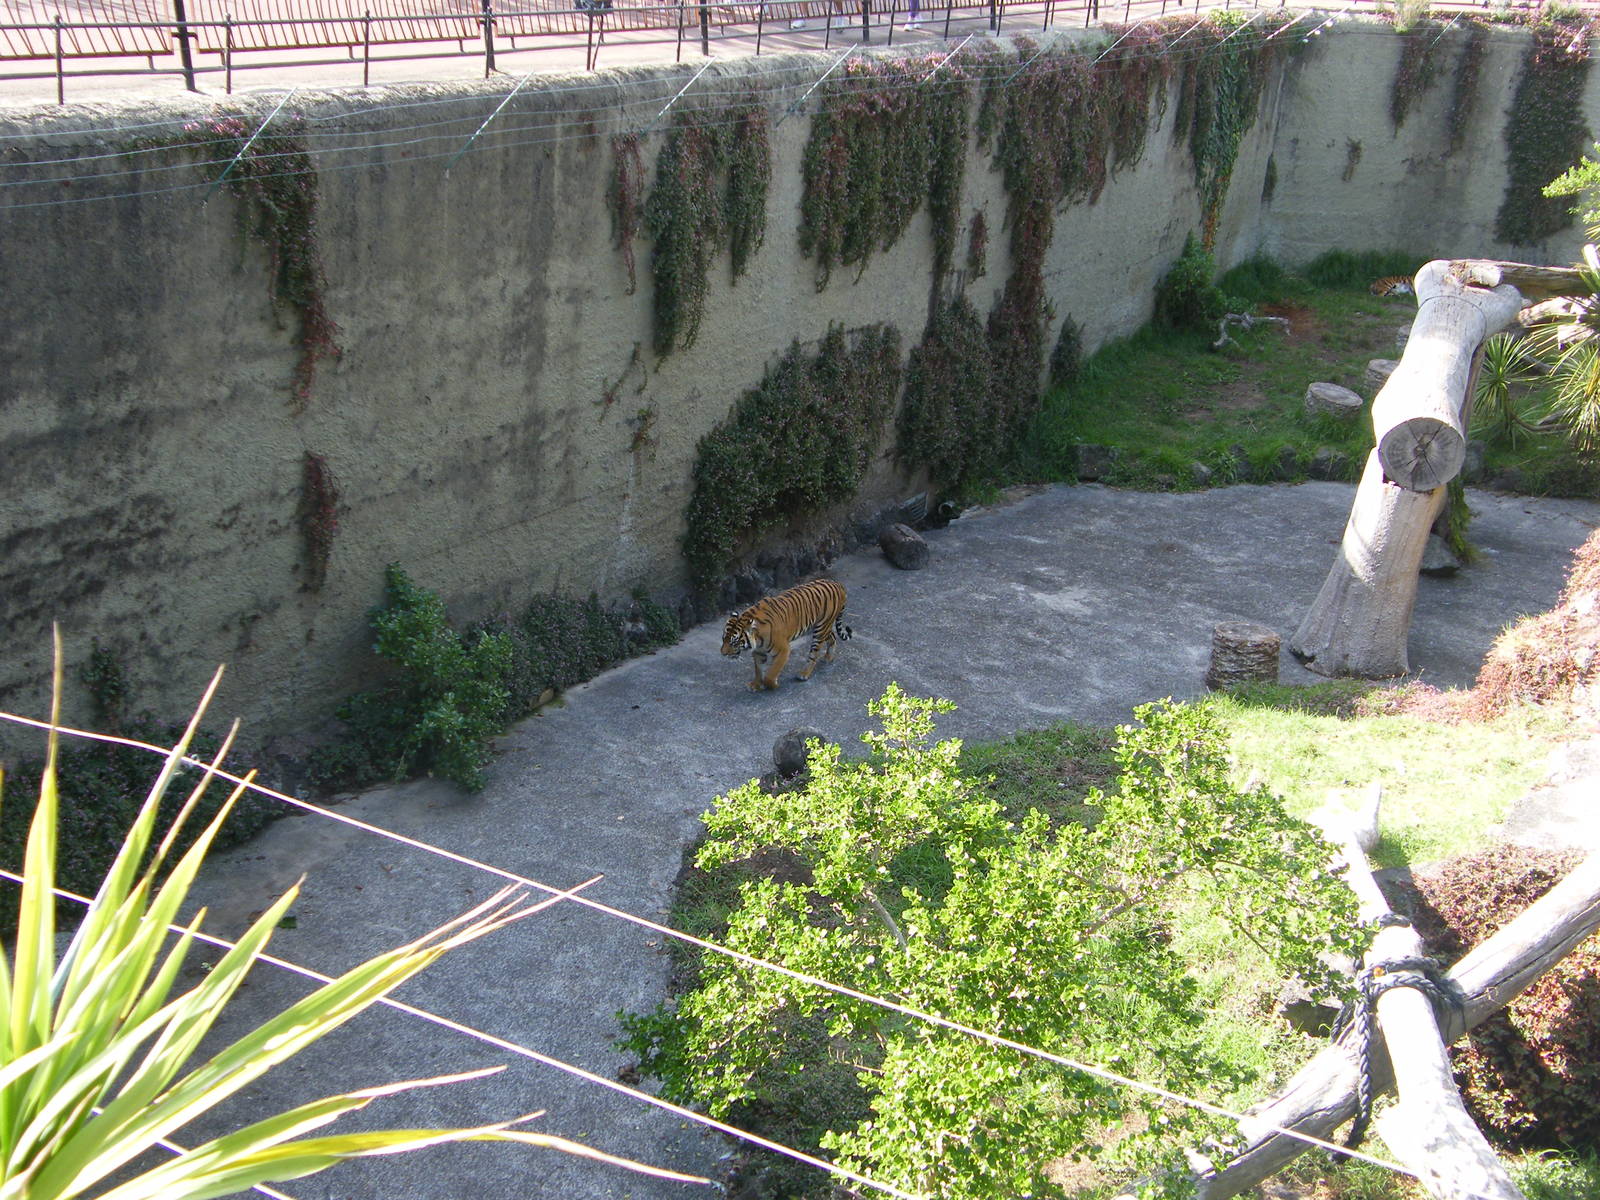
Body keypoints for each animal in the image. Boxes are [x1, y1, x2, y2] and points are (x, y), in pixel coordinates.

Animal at [721, 578, 852, 691]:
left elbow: (771, 673)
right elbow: (758, 670)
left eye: (734, 642)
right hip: (820, 626)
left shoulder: (783, 650)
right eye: (723, 639)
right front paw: (755, 685)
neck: (757, 639)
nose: (723, 653)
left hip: (820, 629)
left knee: (813, 654)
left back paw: (804, 674)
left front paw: (773, 685)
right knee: (832, 636)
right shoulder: (758, 652)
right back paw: (828, 657)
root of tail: (837, 583)